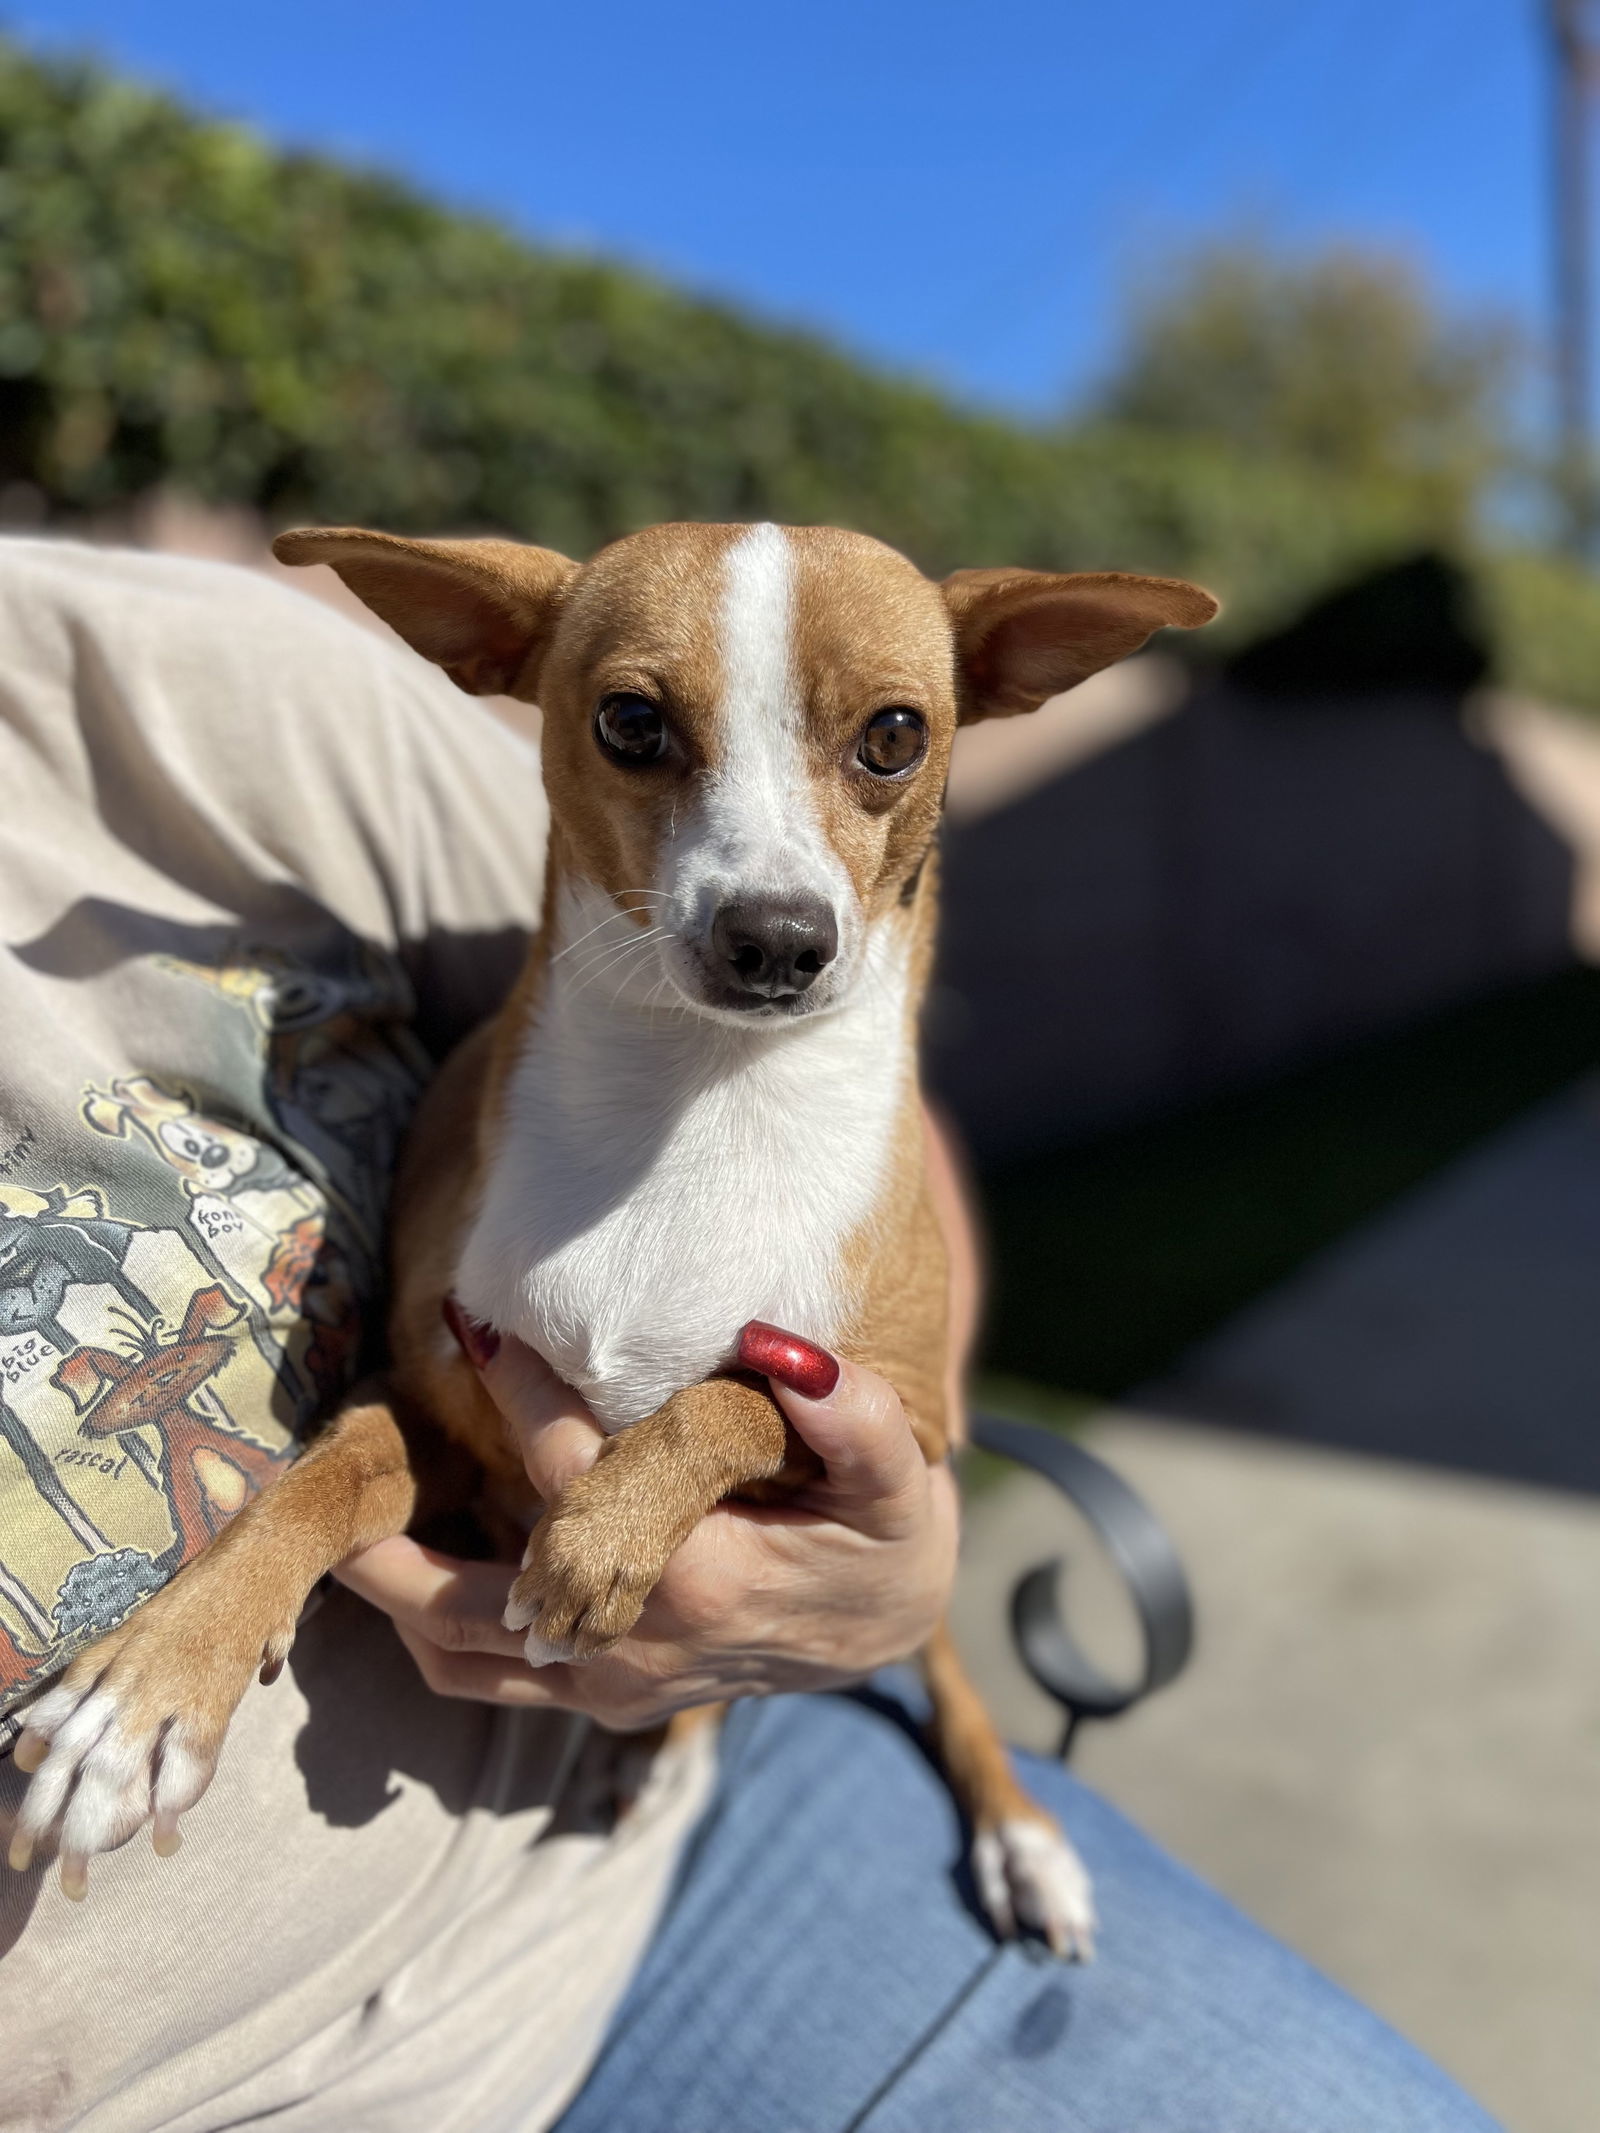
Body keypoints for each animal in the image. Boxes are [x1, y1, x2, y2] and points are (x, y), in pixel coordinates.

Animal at [9, 524, 1211, 1953]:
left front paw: (608, 1530)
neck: (698, 1102)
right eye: (630, 722)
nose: (777, 939)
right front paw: (146, 1688)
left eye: (894, 736)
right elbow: (313, 1481)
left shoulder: (898, 1428)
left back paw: (994, 1831)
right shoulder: (435, 1408)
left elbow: (745, 1391)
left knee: (933, 1664)